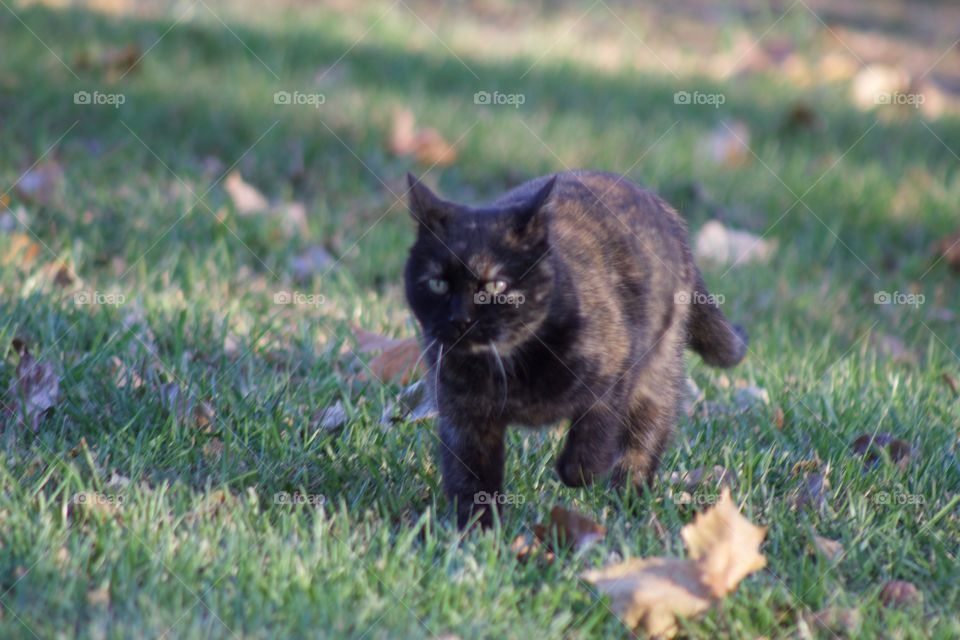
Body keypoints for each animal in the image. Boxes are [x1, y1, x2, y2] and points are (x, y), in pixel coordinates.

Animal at [402, 170, 748, 524]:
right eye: (437, 283)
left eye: (496, 286)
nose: (459, 319)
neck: (510, 365)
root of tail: (666, 212)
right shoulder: (465, 420)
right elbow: (472, 482)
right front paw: (477, 530)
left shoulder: (614, 369)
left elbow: (595, 431)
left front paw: (578, 471)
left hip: (656, 375)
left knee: (645, 439)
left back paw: (628, 502)